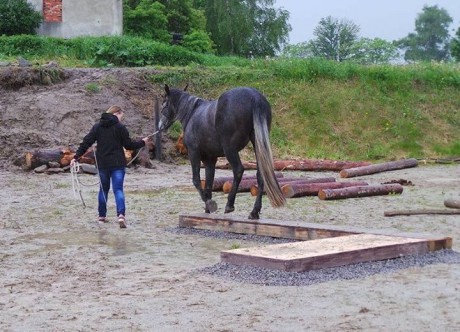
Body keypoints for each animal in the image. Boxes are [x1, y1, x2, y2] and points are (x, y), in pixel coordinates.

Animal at [160, 85, 286, 219]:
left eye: (164, 104)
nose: (160, 125)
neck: (192, 113)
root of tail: (254, 96)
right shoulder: (209, 159)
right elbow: (209, 183)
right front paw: (207, 208)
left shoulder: (194, 154)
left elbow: (197, 180)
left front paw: (210, 204)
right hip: (257, 145)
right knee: (260, 174)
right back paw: (254, 212)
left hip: (229, 149)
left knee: (238, 170)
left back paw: (229, 204)